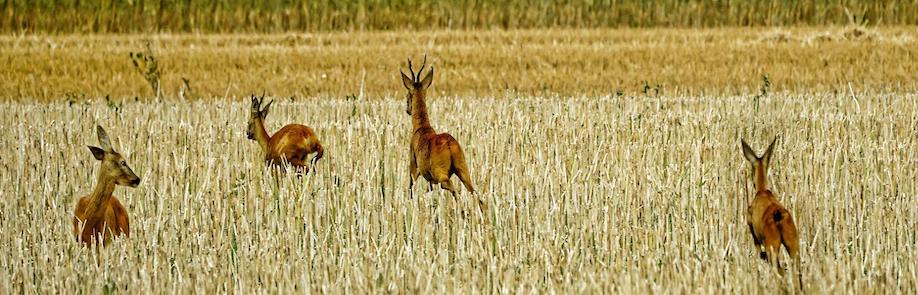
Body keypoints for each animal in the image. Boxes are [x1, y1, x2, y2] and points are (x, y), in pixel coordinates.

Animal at [400, 56, 488, 215]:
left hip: (440, 172)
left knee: (453, 188)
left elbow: (411, 187)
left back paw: (461, 211)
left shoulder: (414, 165)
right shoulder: (430, 178)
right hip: (463, 168)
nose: (408, 109)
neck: (421, 127)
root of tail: (450, 145)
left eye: (408, 94)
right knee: (476, 194)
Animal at [748, 136, 804, 290]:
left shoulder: (753, 233)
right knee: (796, 271)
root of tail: (777, 215)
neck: (762, 191)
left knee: (779, 270)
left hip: (772, 245)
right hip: (793, 242)